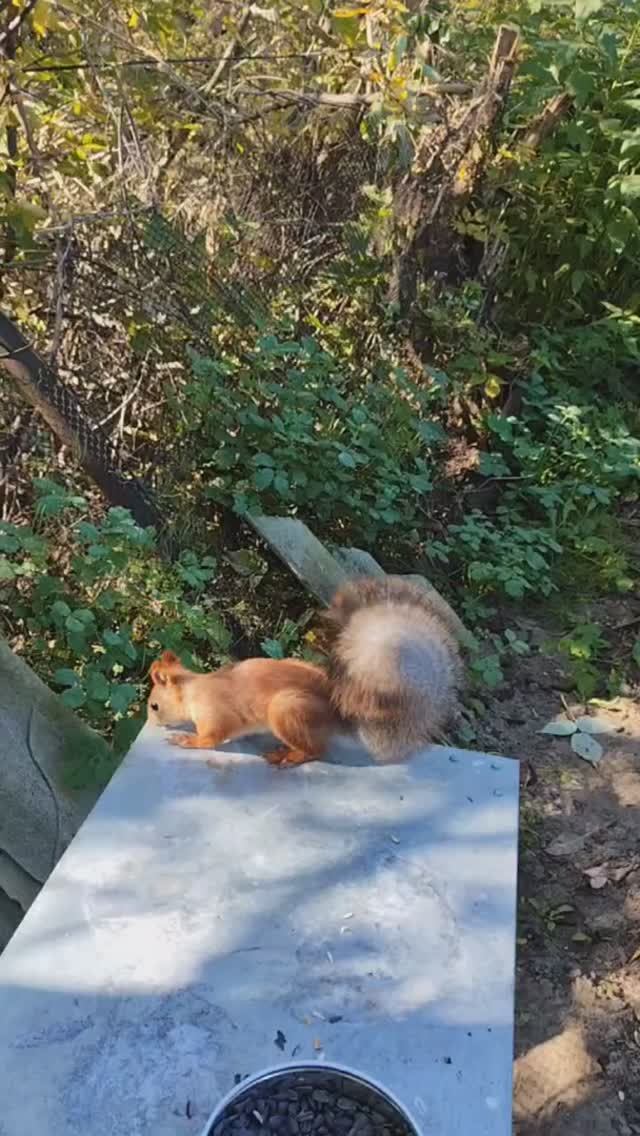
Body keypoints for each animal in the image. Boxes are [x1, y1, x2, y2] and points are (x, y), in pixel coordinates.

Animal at [147, 576, 463, 766]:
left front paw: (186, 740)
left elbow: (210, 738)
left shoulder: (215, 714)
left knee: (316, 751)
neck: (193, 689)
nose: (151, 724)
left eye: (154, 706)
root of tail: (338, 712)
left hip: (287, 709)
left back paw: (287, 756)